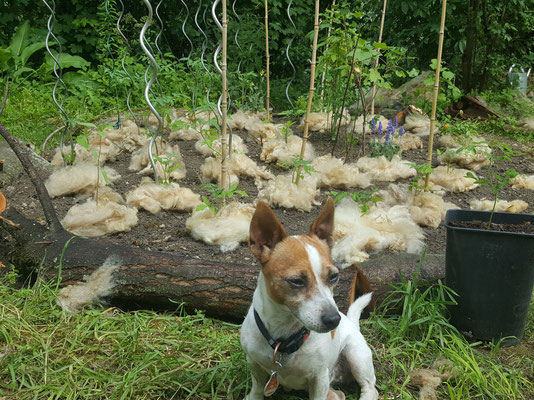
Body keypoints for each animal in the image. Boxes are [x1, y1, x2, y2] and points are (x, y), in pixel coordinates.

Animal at [241, 198, 378, 398]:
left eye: (333, 276)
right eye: (297, 281)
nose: (334, 319)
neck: (284, 337)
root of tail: (352, 323)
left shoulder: (319, 378)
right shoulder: (254, 365)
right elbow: (257, 389)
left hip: (356, 355)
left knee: (370, 387)